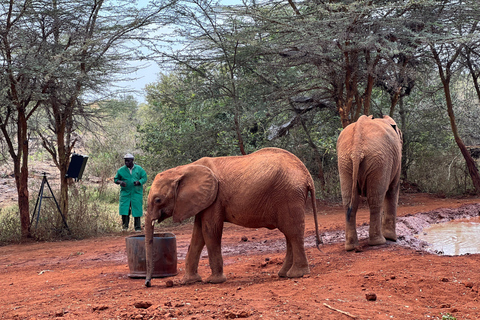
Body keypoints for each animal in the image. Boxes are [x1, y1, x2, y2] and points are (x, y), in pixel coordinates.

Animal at [144, 148, 320, 288]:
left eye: (158, 200)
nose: (148, 283)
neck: (183, 169)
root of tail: (307, 176)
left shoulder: (215, 198)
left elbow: (210, 232)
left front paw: (213, 281)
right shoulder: (203, 200)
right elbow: (198, 235)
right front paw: (190, 281)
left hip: (289, 194)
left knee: (293, 231)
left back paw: (297, 274)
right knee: (289, 233)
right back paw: (283, 274)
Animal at [336, 116, 404, 251]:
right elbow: (393, 189)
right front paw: (392, 239)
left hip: (345, 161)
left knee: (349, 202)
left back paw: (351, 247)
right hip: (380, 160)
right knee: (376, 200)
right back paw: (379, 242)